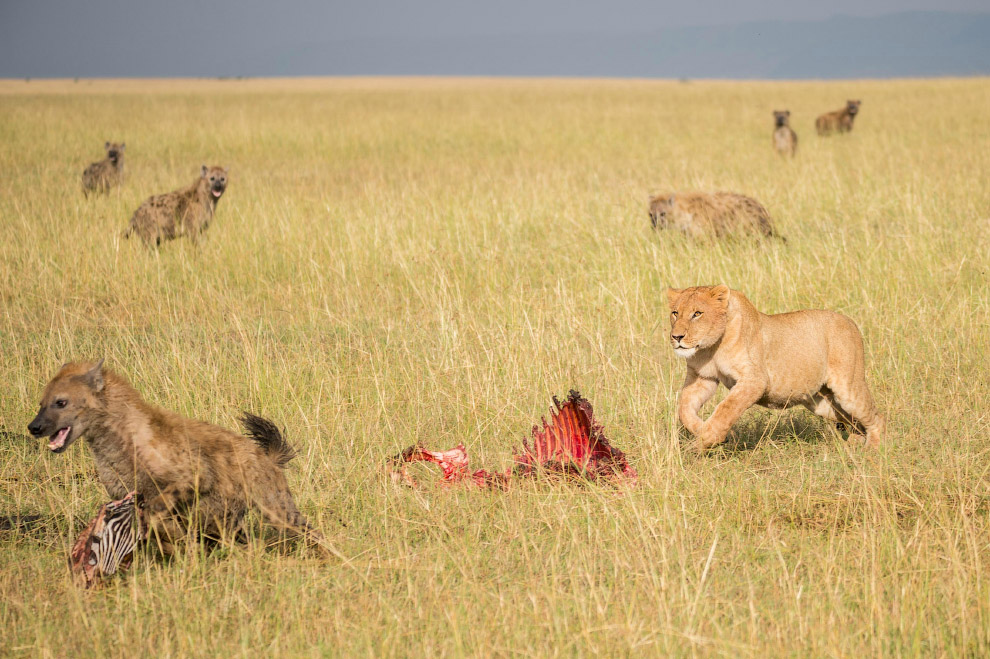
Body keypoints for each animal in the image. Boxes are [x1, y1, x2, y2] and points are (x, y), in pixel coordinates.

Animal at [668, 286, 884, 452]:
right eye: (675, 313)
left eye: (697, 313)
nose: (676, 337)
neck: (710, 348)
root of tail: (850, 321)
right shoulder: (702, 378)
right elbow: (684, 410)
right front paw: (719, 434)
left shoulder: (754, 380)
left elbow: (726, 409)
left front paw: (706, 441)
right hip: (819, 402)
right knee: (852, 420)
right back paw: (853, 445)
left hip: (848, 388)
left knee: (875, 417)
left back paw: (872, 449)